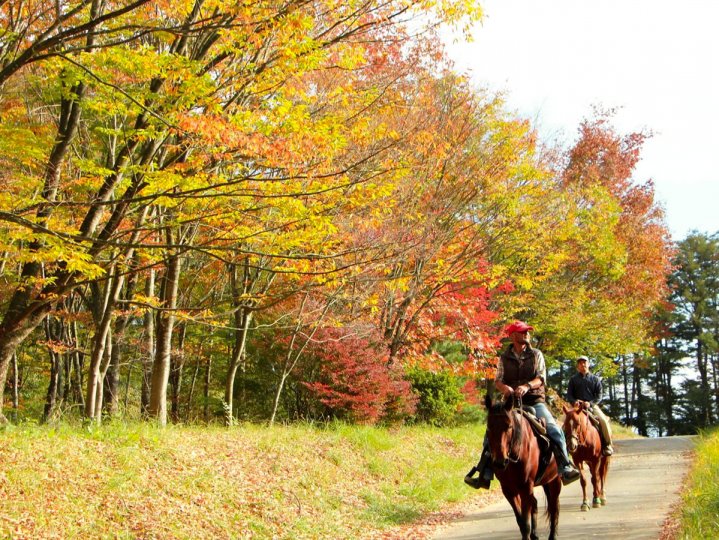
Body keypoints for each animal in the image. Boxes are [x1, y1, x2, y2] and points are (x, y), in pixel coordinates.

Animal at [484, 392, 564, 540]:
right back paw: (535, 534)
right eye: (488, 427)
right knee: (536, 504)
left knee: (554, 508)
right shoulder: (509, 490)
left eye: (509, 426)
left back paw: (552, 536)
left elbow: (526, 523)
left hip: (554, 481)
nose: (499, 462)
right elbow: (521, 521)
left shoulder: (525, 487)